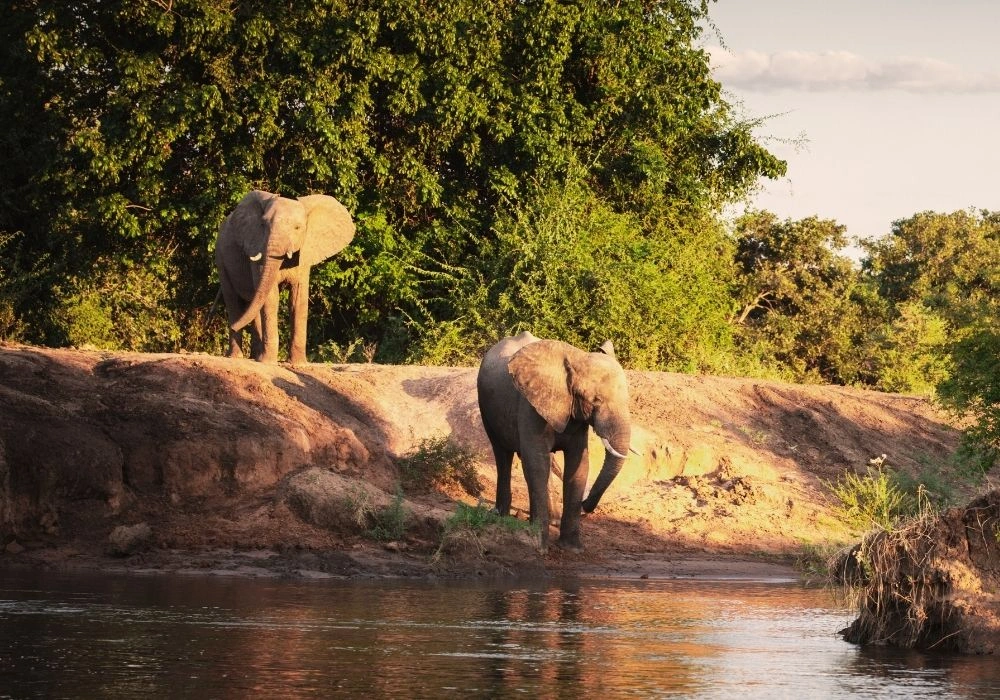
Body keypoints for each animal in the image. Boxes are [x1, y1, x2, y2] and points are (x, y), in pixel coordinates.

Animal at [215, 190, 355, 364]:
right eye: (263, 225)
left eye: (298, 228)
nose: (234, 325)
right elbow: (271, 297)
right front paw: (268, 362)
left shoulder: (304, 253)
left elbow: (298, 299)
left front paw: (298, 364)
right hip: (221, 258)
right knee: (233, 301)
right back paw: (237, 356)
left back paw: (254, 356)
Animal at [477, 331, 632, 552]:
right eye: (594, 400)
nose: (586, 504)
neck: (577, 357)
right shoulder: (530, 406)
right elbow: (536, 463)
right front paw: (539, 546)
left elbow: (579, 464)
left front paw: (572, 549)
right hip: (486, 408)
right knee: (503, 456)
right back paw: (502, 516)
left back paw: (552, 520)